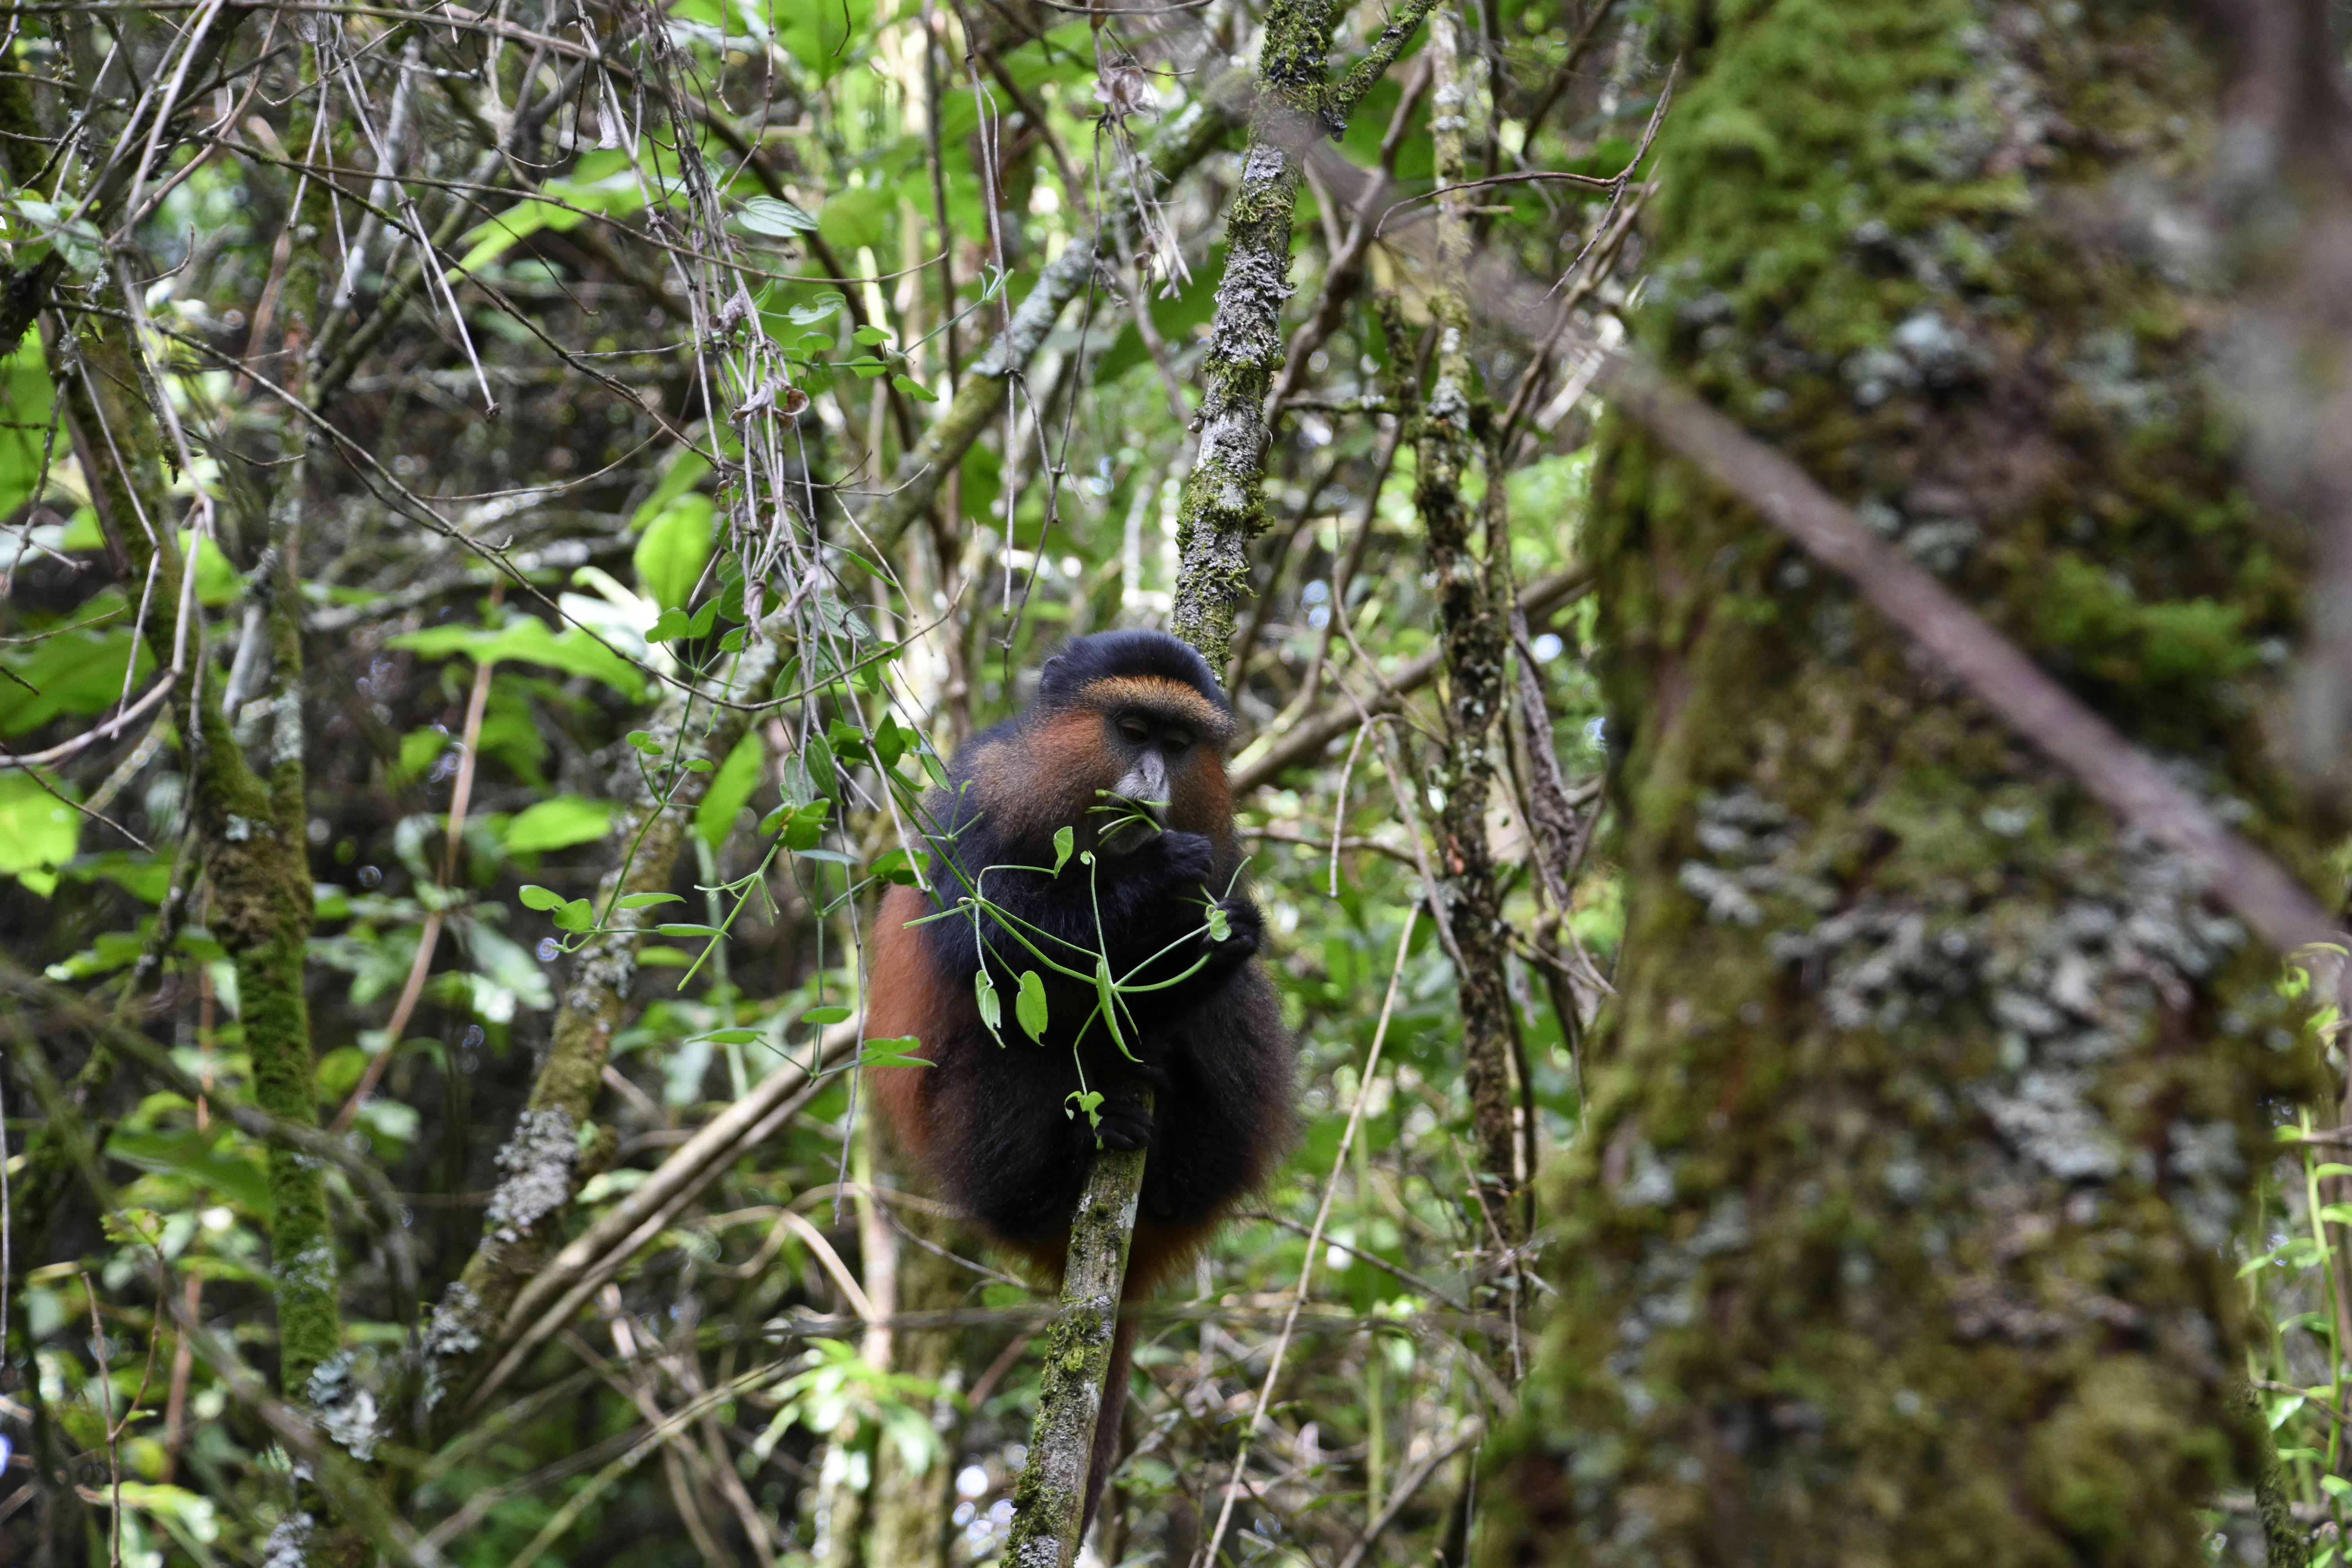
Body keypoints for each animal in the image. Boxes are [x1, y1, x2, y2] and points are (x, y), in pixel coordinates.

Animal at [864, 628, 1296, 1532]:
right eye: (1131, 729)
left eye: (1178, 742)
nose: (1155, 782)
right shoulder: (982, 799)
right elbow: (995, 944)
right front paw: (1155, 878)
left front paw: (1205, 937)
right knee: (1013, 1041)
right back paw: (1090, 1139)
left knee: (1230, 1001)